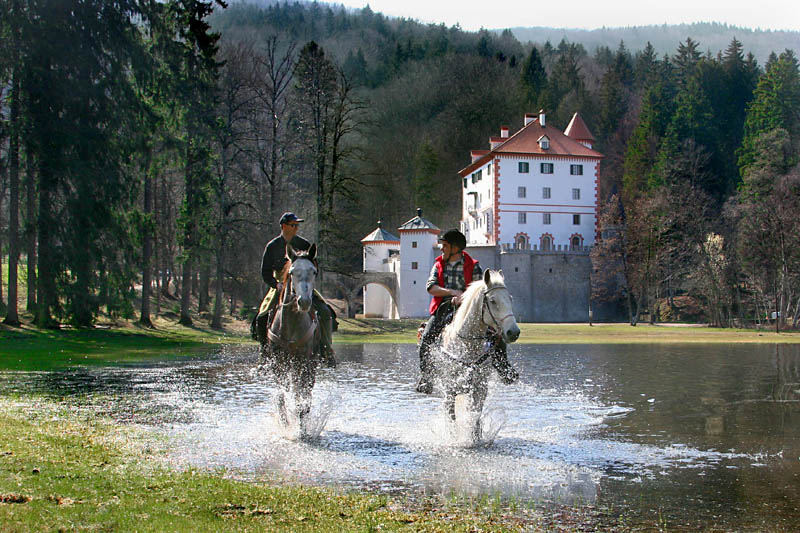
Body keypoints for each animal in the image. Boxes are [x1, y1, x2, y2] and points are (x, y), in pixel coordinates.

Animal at [434, 270, 520, 440]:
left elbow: (475, 416)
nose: (513, 332)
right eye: (492, 301)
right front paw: (454, 439)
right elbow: (452, 419)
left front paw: (475, 439)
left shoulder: (480, 388)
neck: (467, 346)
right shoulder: (449, 389)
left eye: (510, 298)